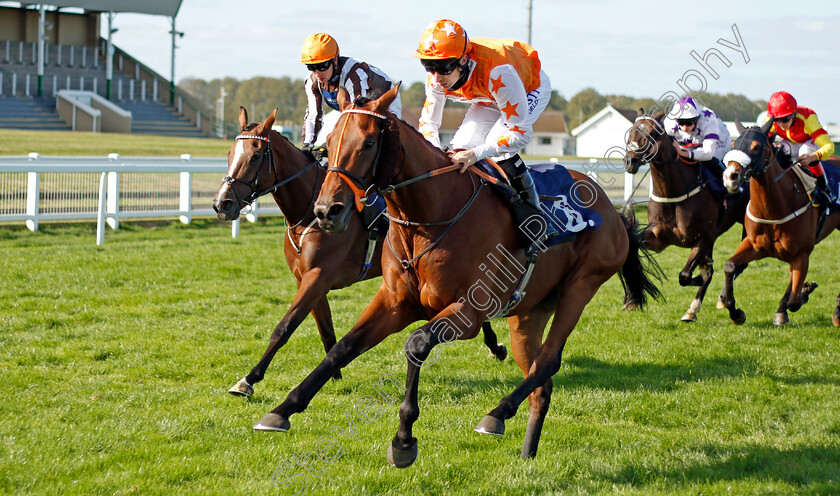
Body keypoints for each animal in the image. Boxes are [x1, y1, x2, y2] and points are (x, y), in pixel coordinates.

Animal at [213, 106, 508, 398]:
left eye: (255, 156)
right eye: (229, 153)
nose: (221, 204)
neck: (309, 211)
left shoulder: (318, 276)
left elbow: (285, 326)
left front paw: (249, 379)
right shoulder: (307, 279)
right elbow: (326, 330)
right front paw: (333, 373)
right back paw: (495, 344)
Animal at [254, 83, 664, 466]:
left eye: (369, 142)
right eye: (328, 143)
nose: (326, 211)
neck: (430, 215)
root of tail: (612, 210)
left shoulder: (468, 312)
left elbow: (416, 343)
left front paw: (403, 439)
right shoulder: (393, 302)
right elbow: (342, 348)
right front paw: (282, 409)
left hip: (581, 286)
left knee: (549, 360)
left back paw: (496, 414)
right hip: (529, 312)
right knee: (541, 381)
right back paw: (526, 453)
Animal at [624, 110, 748, 322]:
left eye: (652, 133)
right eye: (631, 130)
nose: (630, 161)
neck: (673, 194)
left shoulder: (703, 238)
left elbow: (686, 276)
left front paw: (699, 277)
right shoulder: (659, 240)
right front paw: (632, 298)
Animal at [720, 119, 840, 328]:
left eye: (756, 147)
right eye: (734, 144)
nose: (730, 176)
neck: (775, 208)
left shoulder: (801, 254)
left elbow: (794, 301)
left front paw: (803, 292)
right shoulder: (755, 246)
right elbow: (730, 266)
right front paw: (735, 313)